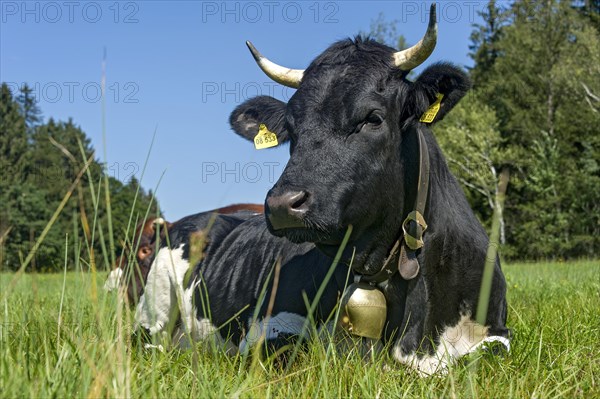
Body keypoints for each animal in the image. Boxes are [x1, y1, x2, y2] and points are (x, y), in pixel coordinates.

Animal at [134, 4, 508, 376]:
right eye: (291, 127)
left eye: (373, 118)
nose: (282, 204)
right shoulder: (268, 325)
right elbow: (291, 350)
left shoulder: (497, 334)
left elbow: (488, 353)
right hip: (152, 310)